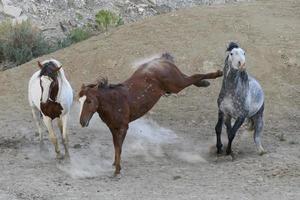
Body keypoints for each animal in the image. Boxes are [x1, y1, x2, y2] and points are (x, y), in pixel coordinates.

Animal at [78, 52, 223, 174]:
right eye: (79, 100)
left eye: (89, 101)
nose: (82, 122)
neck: (113, 101)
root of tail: (162, 60)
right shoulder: (113, 128)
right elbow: (115, 146)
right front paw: (115, 164)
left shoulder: (123, 127)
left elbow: (119, 147)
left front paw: (117, 170)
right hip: (175, 84)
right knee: (191, 77)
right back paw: (205, 82)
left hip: (176, 84)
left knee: (194, 77)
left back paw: (217, 73)